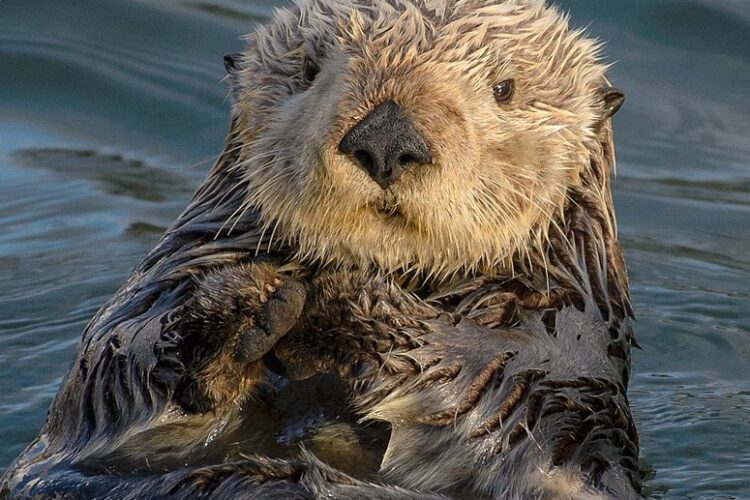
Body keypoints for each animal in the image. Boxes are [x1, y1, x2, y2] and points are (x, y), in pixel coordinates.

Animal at [0, 0, 640, 498]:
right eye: (308, 71)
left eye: (504, 89)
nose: (386, 138)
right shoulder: (151, 302)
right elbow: (111, 371)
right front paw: (246, 306)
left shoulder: (564, 365)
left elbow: (501, 389)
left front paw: (337, 307)